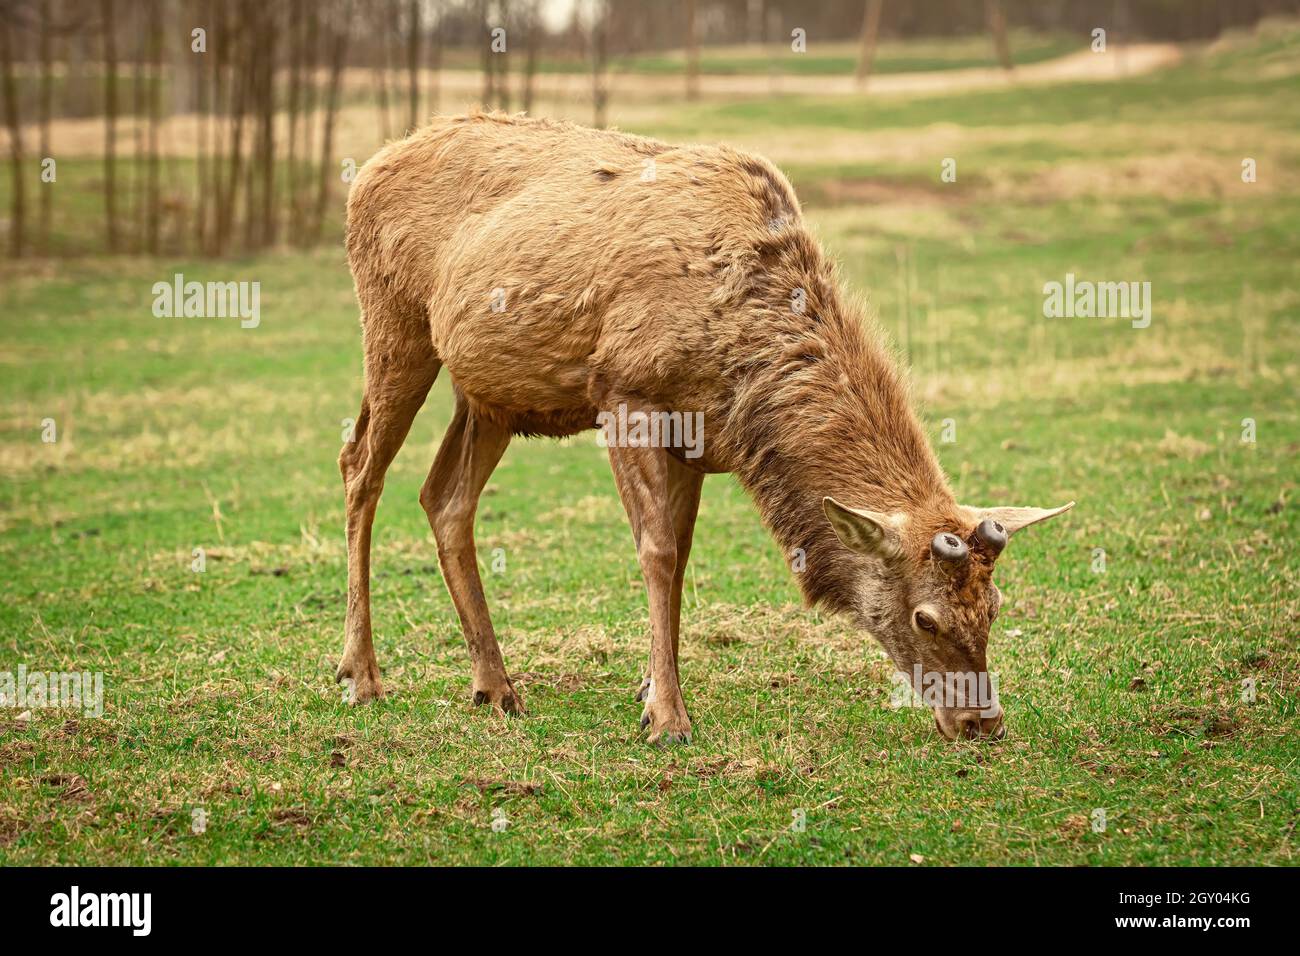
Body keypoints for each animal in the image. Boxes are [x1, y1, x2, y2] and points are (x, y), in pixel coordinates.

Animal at [335, 111, 1073, 744]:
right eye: (925, 616)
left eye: (995, 604)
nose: (982, 722)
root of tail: (368, 169)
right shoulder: (625, 392)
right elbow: (657, 552)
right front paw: (667, 717)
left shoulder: (696, 438)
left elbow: (682, 555)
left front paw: (648, 687)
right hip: (393, 319)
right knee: (359, 465)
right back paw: (361, 676)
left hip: (492, 395)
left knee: (444, 495)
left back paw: (495, 686)